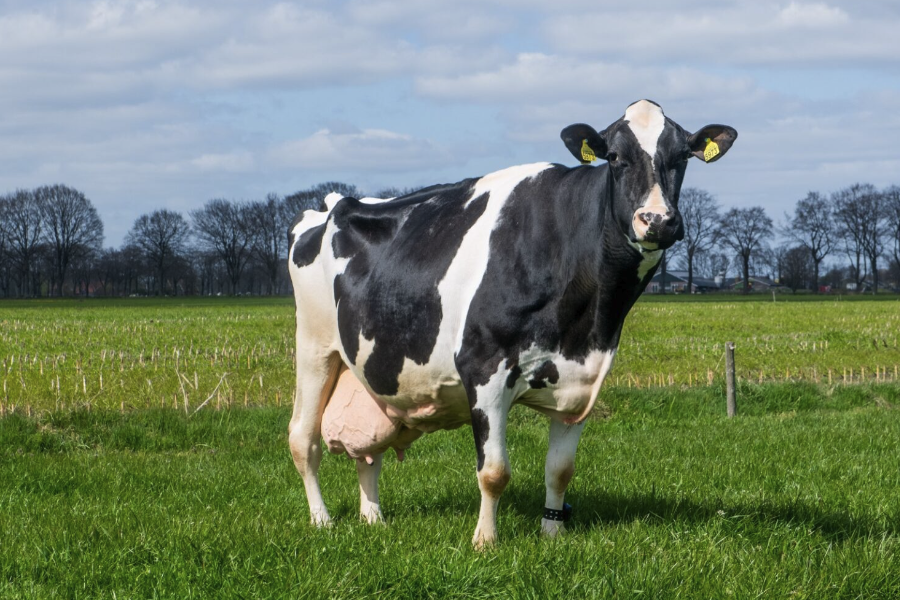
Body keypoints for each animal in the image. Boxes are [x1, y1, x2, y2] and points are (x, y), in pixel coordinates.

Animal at [288, 101, 740, 548]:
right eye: (613, 157)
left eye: (682, 157)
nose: (657, 220)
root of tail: (333, 204)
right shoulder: (483, 367)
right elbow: (494, 472)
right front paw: (485, 541)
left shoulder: (580, 381)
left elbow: (560, 470)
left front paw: (553, 531)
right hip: (314, 347)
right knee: (302, 439)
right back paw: (322, 520)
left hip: (370, 367)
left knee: (369, 453)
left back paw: (373, 519)